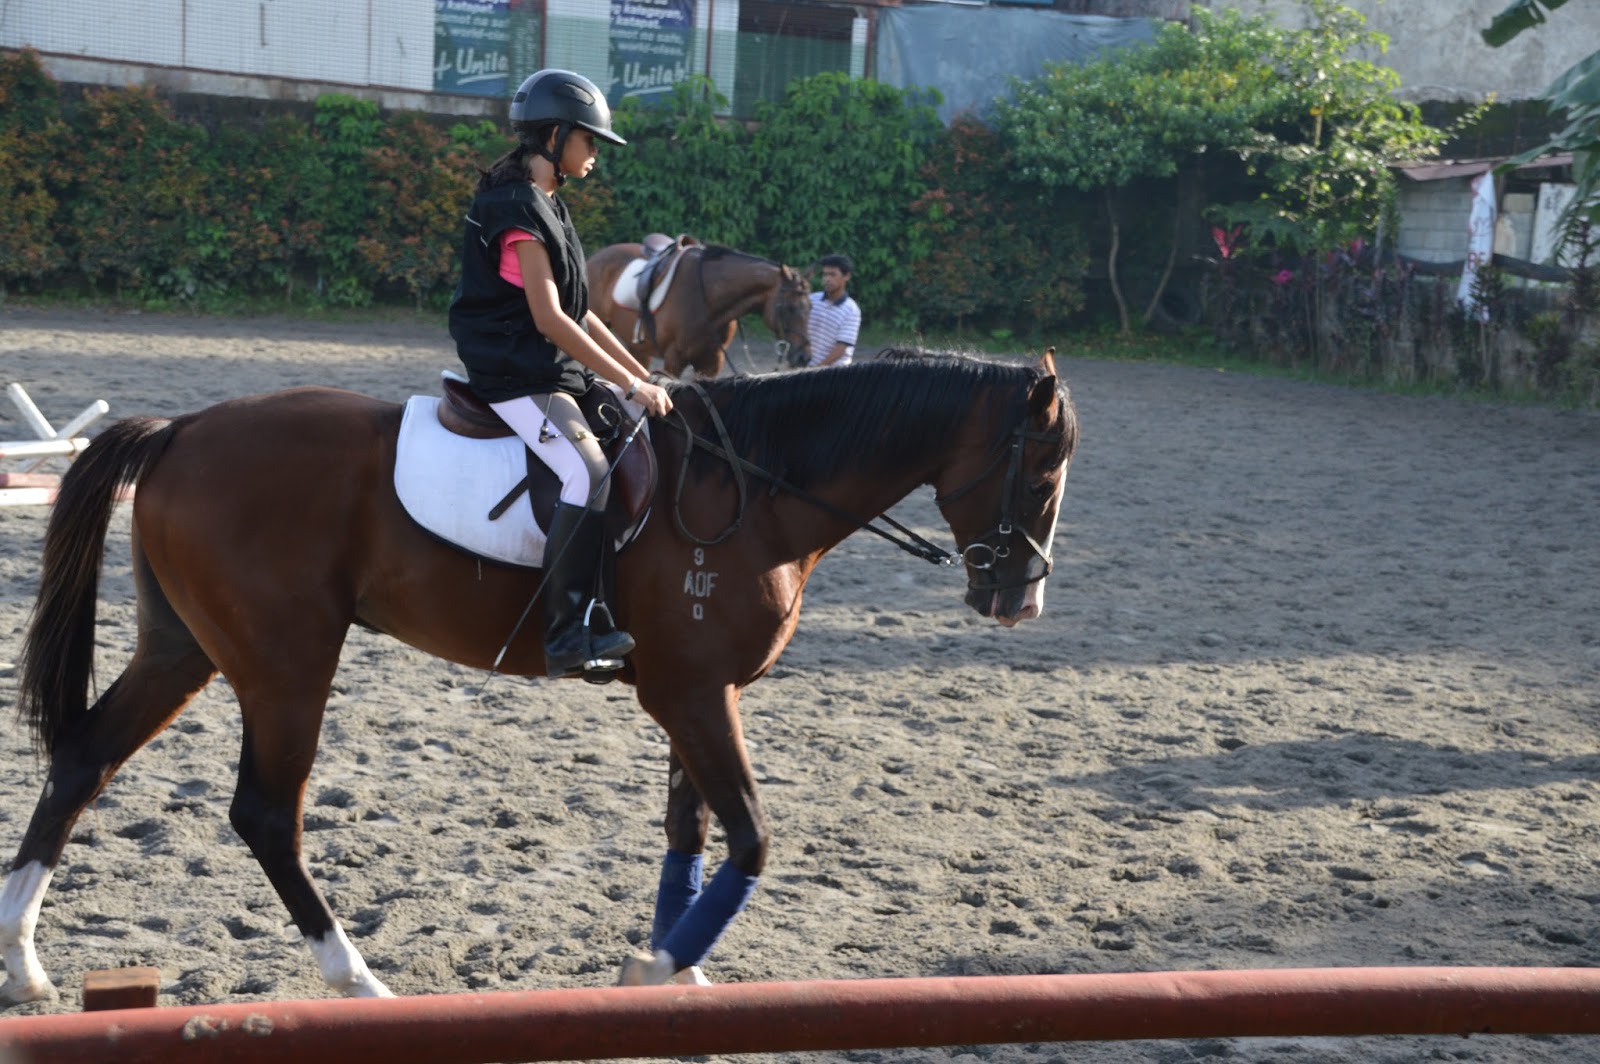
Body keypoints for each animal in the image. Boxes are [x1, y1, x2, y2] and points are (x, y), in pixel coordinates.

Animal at [0, 347, 1077, 1004]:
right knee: (264, 812)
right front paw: (663, 968)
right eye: (1041, 471)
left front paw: (672, 970)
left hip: (183, 648)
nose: (1020, 598)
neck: (755, 489)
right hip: (286, 660)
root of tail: (181, 430)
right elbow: (751, 834)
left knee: (85, 759)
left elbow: (691, 829)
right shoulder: (692, 693)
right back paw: (357, 981)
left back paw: (24, 963)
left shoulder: (696, 690)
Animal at [587, 241, 812, 379]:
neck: (706, 300)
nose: (804, 357)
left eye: (809, 308)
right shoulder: (674, 360)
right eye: (789, 308)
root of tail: (595, 258)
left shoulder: (711, 363)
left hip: (637, 348)